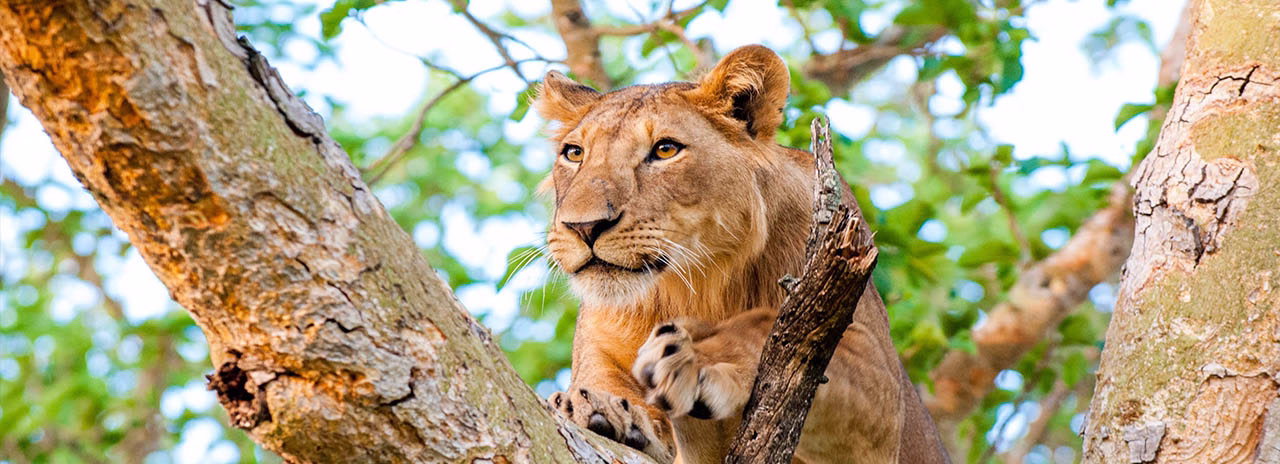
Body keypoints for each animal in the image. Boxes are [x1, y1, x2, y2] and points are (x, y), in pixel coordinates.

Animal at [537, 45, 947, 464]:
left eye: (665, 149)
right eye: (574, 153)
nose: (584, 227)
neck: (693, 284)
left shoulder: (881, 396)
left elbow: (768, 327)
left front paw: (701, 358)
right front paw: (600, 409)